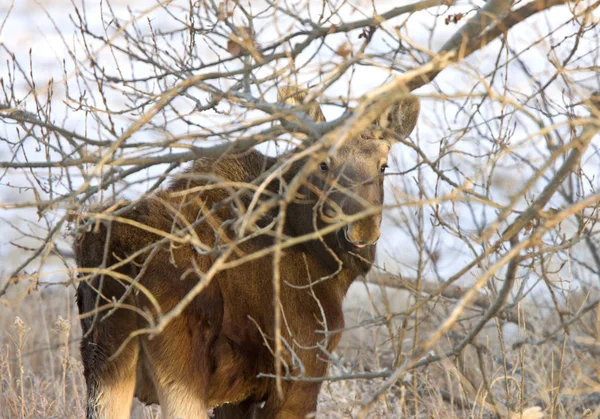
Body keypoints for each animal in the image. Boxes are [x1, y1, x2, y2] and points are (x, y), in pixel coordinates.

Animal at [75, 87, 420, 418]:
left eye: (383, 166)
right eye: (324, 164)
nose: (362, 229)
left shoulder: (239, 397)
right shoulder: (301, 373)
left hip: (103, 361)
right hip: (182, 365)